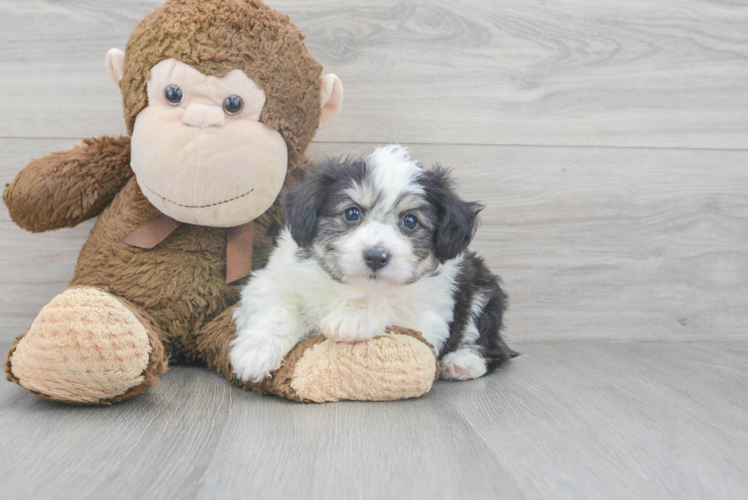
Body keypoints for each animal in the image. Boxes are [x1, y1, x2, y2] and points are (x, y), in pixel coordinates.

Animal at [231, 145, 516, 382]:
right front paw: (254, 353)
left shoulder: (429, 318)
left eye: (410, 221)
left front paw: (351, 319)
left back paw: (463, 363)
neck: (352, 288)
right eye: (352, 213)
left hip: (482, 290)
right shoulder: (272, 281)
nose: (376, 257)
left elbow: (390, 304)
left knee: (492, 345)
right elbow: (279, 309)